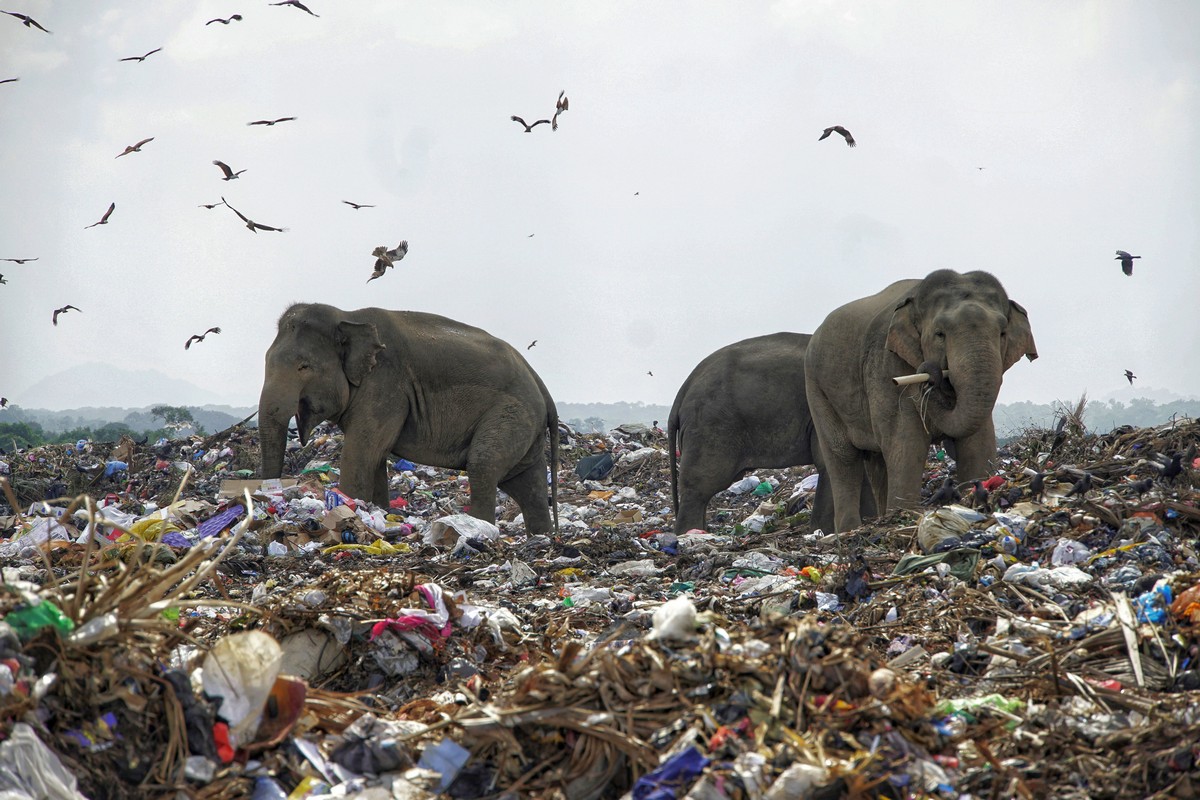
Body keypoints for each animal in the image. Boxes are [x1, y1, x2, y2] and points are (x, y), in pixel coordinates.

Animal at [258, 303, 556, 534]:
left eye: (303, 366)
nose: (270, 493)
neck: (348, 316)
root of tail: (541, 384)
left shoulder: (386, 385)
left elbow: (361, 452)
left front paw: (348, 511)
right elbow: (375, 456)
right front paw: (377, 511)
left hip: (513, 413)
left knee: (483, 464)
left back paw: (479, 530)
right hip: (526, 426)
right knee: (530, 487)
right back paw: (539, 537)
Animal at [667, 333, 873, 537]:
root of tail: (684, 388)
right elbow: (830, 462)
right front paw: (826, 531)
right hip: (710, 428)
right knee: (700, 488)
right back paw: (689, 534)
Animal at [806, 268, 1041, 532]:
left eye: (1002, 333)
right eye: (939, 334)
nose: (931, 377)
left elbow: (978, 440)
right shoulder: (885, 367)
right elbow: (907, 441)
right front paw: (906, 516)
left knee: (876, 461)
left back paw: (878, 521)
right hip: (817, 389)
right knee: (843, 459)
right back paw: (851, 529)